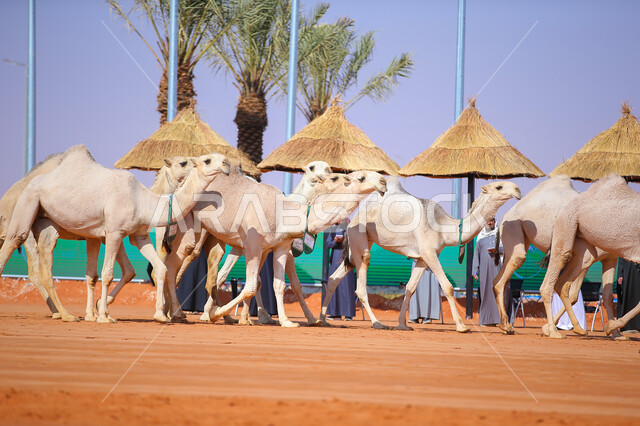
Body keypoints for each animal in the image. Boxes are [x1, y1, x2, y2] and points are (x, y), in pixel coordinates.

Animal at [0, 145, 230, 323]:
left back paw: (65, 314)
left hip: (46, 223)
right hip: (28, 203)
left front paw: (160, 315)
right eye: (207, 160)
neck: (143, 200)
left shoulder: (138, 235)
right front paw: (103, 316)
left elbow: (160, 268)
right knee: (14, 241)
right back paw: (65, 314)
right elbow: (108, 273)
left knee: (45, 268)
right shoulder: (113, 232)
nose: (227, 163)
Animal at [160, 169, 387, 326]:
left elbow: (278, 284)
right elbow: (251, 286)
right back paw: (176, 313)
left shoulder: (280, 247)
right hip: (189, 221)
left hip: (215, 236)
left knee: (210, 267)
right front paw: (217, 314)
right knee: (181, 259)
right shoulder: (253, 246)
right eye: (361, 177)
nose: (383, 181)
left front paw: (286, 321)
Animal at [320, 179, 521, 332]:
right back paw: (377, 323)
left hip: (359, 244)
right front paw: (462, 326)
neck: (443, 228)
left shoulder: (422, 259)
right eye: (499, 187)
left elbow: (410, 288)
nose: (518, 190)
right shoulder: (429, 253)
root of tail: (352, 218)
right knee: (362, 278)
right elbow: (447, 287)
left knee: (334, 277)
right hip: (359, 235)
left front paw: (403, 324)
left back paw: (322, 319)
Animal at [491, 176, 623, 338]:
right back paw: (510, 326)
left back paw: (506, 326)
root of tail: (504, 216)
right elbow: (573, 294)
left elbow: (608, 296)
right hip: (513, 228)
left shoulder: (610, 257)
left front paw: (616, 333)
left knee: (499, 278)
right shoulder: (590, 254)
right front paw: (553, 328)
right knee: (512, 268)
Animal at [540, 174, 640, 339]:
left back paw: (576, 328)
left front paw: (615, 333)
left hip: (582, 246)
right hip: (567, 224)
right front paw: (612, 327)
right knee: (555, 274)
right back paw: (554, 331)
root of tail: (561, 210)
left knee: (561, 283)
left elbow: (607, 295)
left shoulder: (611, 257)